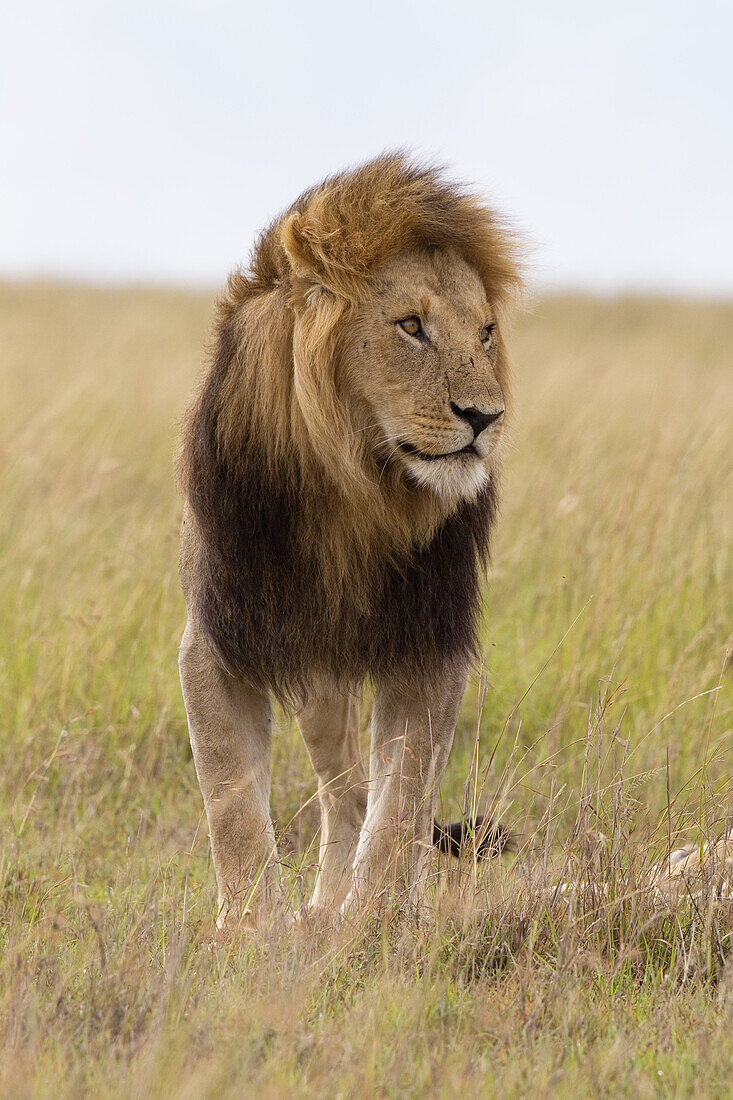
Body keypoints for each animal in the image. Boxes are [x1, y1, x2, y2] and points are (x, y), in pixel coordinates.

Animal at [177, 152, 519, 928]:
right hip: (315, 677)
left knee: (368, 802)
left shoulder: (428, 641)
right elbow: (231, 804)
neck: (360, 486)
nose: (485, 417)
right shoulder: (219, 639)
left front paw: (376, 922)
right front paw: (251, 932)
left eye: (485, 332)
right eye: (411, 326)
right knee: (342, 793)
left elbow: (402, 800)